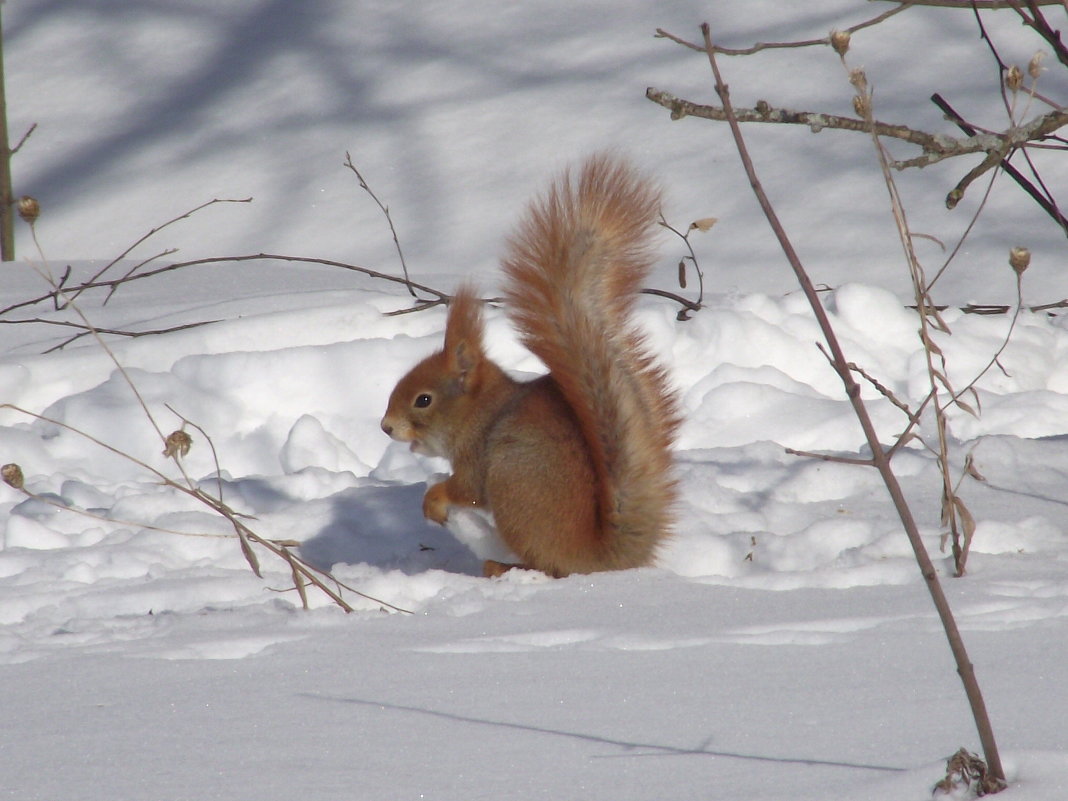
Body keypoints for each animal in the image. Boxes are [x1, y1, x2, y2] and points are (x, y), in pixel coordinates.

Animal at [382, 154, 674, 576]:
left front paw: (434, 498)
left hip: (512, 484)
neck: (479, 410)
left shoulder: (477, 456)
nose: (386, 427)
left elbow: (467, 490)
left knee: (546, 566)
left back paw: (503, 567)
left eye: (424, 400)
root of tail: (596, 558)